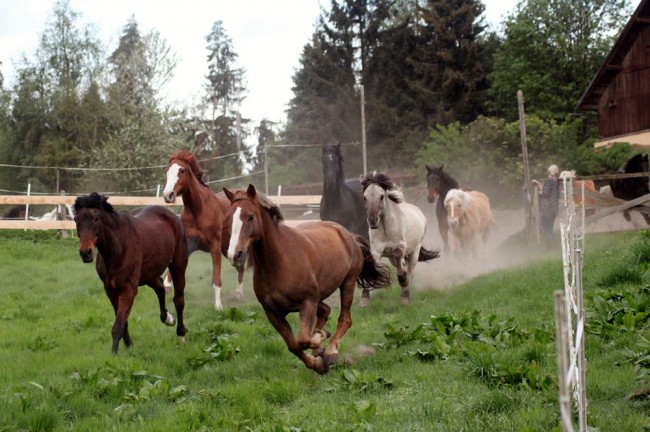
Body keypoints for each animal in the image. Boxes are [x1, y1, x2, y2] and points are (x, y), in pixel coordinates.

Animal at [75, 193, 190, 354]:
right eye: (76, 219)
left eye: (96, 218)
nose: (86, 253)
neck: (118, 248)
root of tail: (172, 216)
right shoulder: (110, 290)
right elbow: (123, 321)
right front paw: (129, 345)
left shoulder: (128, 290)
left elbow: (118, 325)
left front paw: (113, 354)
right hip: (148, 274)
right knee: (160, 287)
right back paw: (167, 319)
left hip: (178, 267)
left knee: (178, 300)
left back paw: (181, 335)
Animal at [162, 150, 246, 308]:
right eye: (167, 171)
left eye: (182, 170)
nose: (167, 195)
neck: (198, 210)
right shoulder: (189, 244)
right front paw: (167, 286)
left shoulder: (214, 246)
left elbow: (216, 279)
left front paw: (218, 306)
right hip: (227, 249)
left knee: (242, 266)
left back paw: (239, 294)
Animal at [223, 184, 390, 372]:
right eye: (228, 218)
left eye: (250, 217)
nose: (234, 255)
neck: (279, 261)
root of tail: (348, 235)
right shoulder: (273, 313)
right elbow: (294, 346)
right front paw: (318, 363)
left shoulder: (307, 302)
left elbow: (303, 340)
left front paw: (320, 343)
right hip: (319, 296)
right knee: (326, 310)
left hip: (348, 282)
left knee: (344, 319)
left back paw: (331, 351)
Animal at [356, 170, 438, 306]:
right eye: (364, 197)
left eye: (381, 196)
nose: (373, 220)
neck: (386, 229)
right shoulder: (376, 251)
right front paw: (364, 300)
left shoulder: (400, 246)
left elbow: (401, 264)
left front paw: (403, 283)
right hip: (391, 259)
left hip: (415, 251)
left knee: (410, 271)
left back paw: (405, 295)